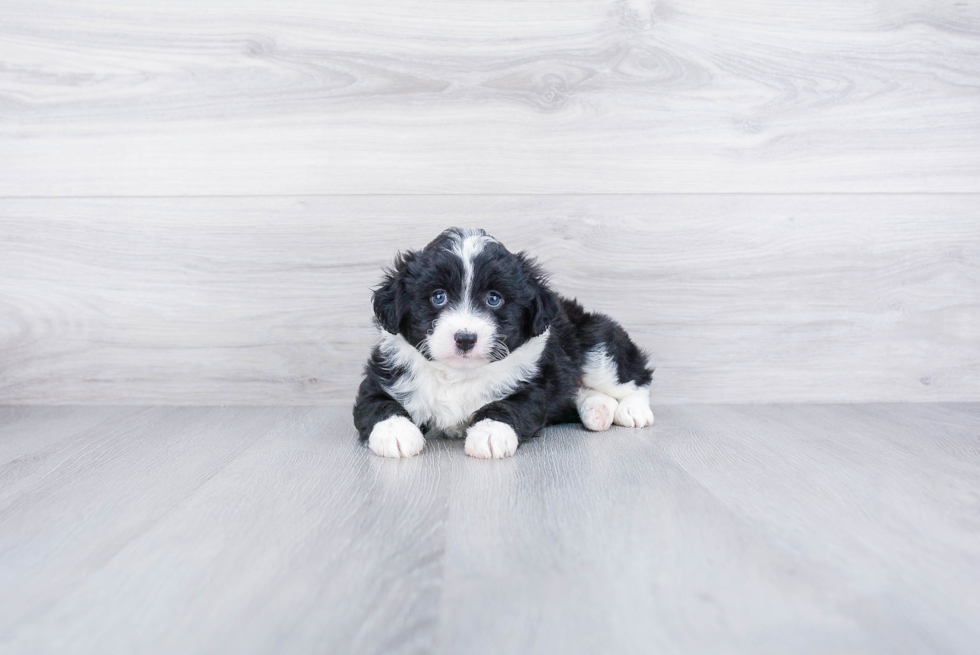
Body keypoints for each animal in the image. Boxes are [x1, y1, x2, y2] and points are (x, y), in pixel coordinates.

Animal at [348, 228, 656, 458]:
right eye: (438, 296)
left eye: (494, 299)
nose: (465, 338)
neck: (458, 374)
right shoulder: (383, 376)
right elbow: (378, 404)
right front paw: (395, 432)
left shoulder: (532, 385)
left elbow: (507, 407)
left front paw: (490, 433)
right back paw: (597, 411)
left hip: (597, 342)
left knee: (633, 377)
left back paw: (633, 410)